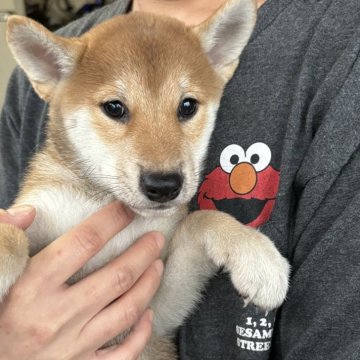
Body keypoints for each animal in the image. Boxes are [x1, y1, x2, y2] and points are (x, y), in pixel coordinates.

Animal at [2, 0, 290, 356]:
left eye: (187, 106)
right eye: (114, 107)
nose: (164, 186)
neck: (101, 199)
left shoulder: (154, 311)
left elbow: (203, 219)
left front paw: (257, 256)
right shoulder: (35, 214)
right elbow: (11, 233)